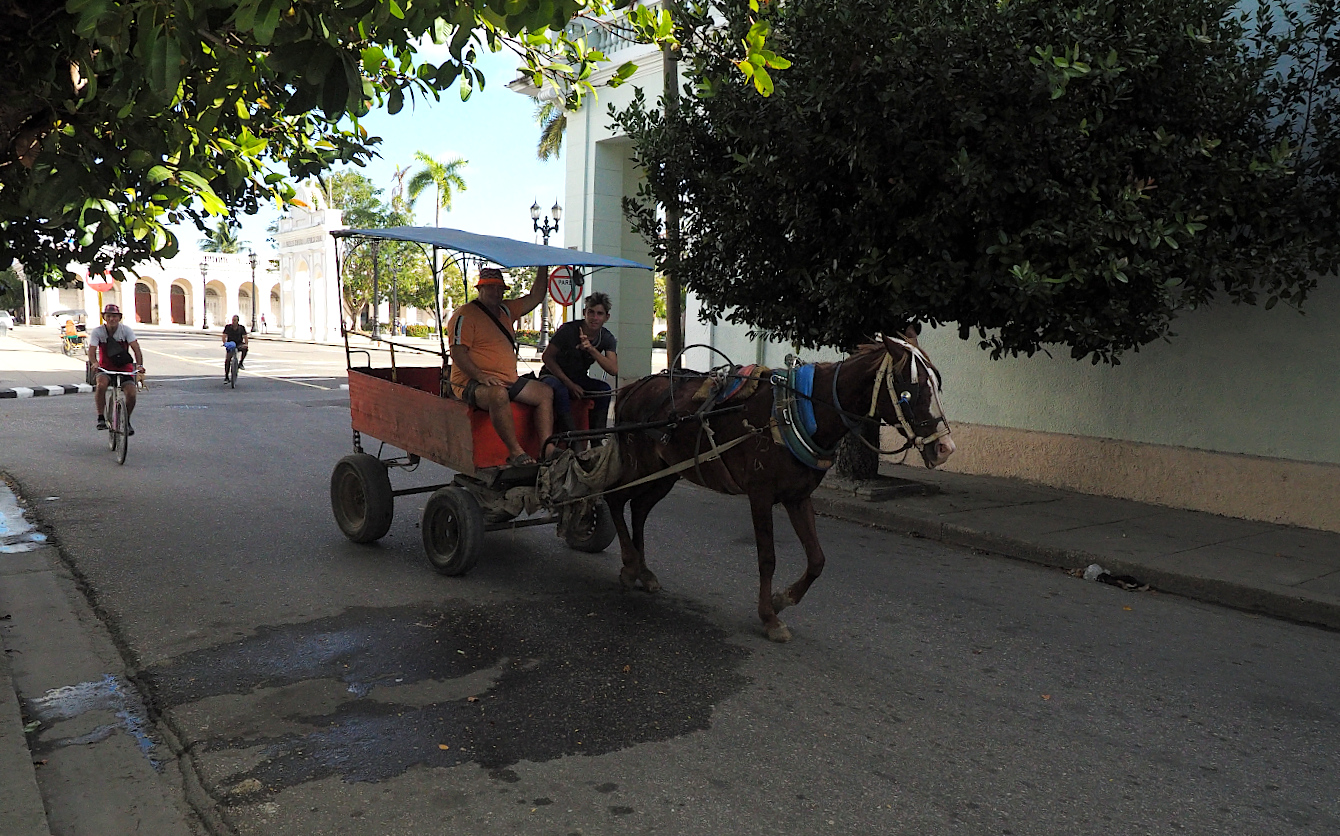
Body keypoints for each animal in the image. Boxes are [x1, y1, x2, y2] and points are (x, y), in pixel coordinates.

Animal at [604, 329, 956, 642]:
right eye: (911, 390)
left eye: (938, 384)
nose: (945, 448)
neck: (800, 411)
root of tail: (631, 389)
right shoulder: (760, 495)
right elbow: (767, 558)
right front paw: (769, 618)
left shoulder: (798, 497)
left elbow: (817, 559)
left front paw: (781, 599)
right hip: (640, 466)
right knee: (614, 499)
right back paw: (630, 566)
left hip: (665, 473)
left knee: (639, 508)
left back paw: (644, 571)